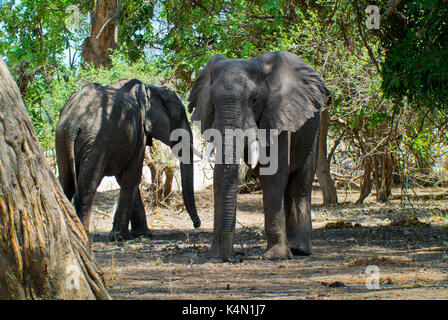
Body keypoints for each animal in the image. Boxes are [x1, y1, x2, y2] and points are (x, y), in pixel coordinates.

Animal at [56, 79, 201, 240]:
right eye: (180, 115)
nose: (197, 224)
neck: (150, 90)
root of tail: (72, 125)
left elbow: (125, 179)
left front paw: (142, 234)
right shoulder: (138, 132)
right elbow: (132, 177)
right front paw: (120, 237)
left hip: (61, 138)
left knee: (66, 183)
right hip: (96, 141)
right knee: (87, 186)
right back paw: (84, 235)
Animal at [187, 49, 330, 260]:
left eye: (254, 99)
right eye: (212, 101)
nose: (235, 257)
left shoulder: (278, 115)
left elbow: (273, 175)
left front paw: (275, 256)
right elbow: (219, 177)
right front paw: (215, 255)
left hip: (314, 131)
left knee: (300, 184)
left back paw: (299, 250)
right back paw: (292, 248)